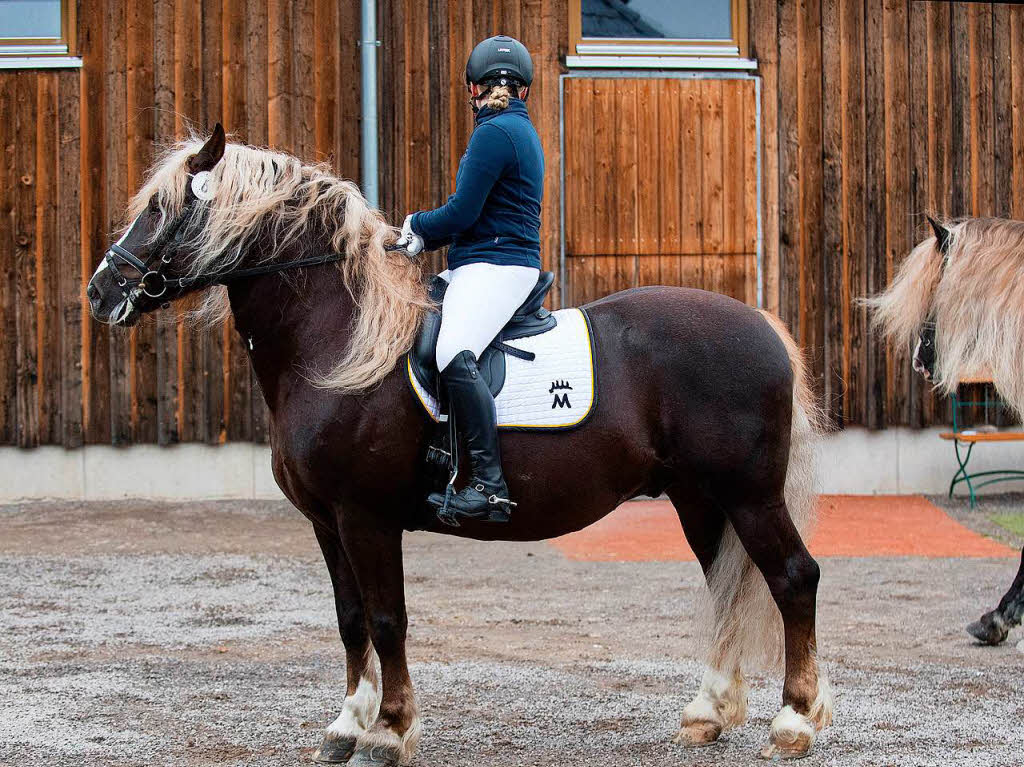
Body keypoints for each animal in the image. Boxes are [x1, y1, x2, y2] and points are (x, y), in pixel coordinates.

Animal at [83, 124, 831, 761]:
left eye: (165, 211)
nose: (101, 292)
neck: (338, 344)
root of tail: (762, 325)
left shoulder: (366, 516)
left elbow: (387, 618)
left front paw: (388, 731)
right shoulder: (326, 521)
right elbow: (350, 618)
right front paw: (345, 725)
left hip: (749, 495)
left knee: (794, 577)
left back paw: (793, 722)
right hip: (700, 499)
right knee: (727, 587)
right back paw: (708, 713)